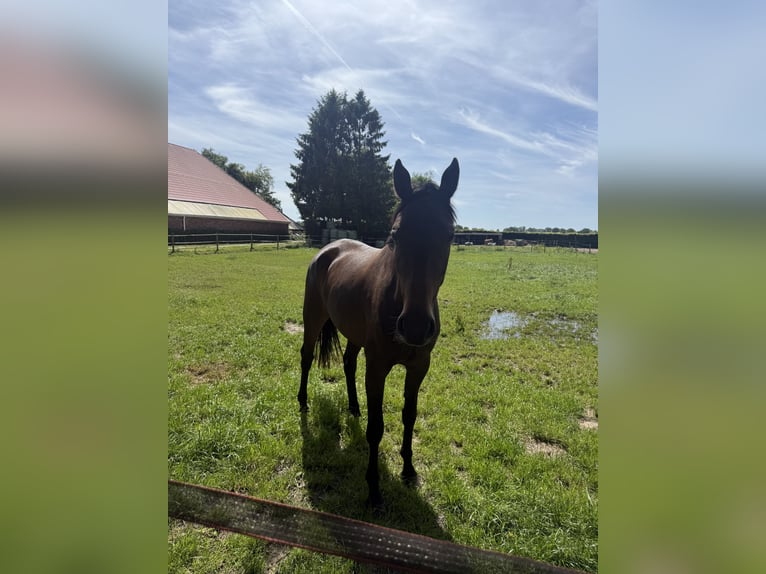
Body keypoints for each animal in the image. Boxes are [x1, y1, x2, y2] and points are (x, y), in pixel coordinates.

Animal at [298, 157, 459, 507]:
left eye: (449, 235)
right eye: (396, 234)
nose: (415, 326)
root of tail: (329, 248)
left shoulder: (419, 367)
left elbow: (409, 416)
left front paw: (409, 469)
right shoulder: (377, 368)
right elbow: (376, 428)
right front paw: (373, 488)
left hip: (354, 335)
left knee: (347, 362)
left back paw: (353, 407)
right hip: (313, 318)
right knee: (305, 356)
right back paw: (302, 402)